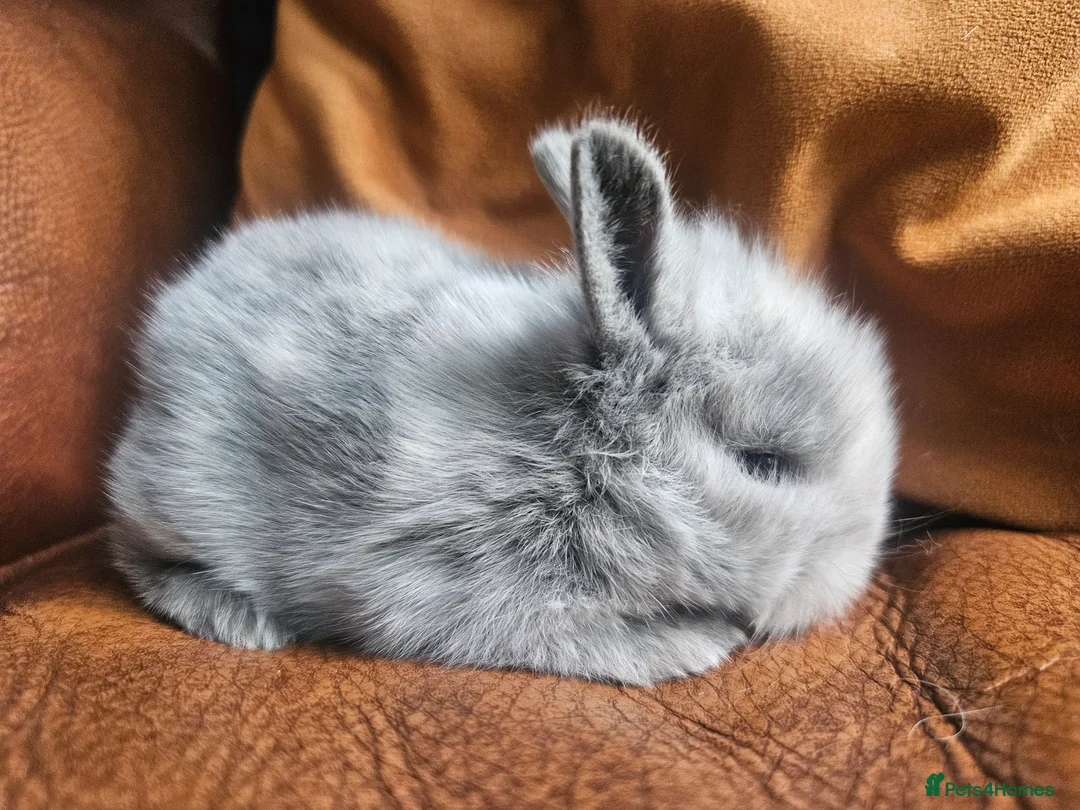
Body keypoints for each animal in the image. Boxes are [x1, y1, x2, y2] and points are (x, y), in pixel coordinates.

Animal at [106, 116, 898, 686]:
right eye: (763, 463)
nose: (856, 572)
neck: (578, 450)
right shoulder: (442, 579)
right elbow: (562, 632)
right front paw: (691, 645)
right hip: (176, 499)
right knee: (134, 553)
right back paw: (240, 620)